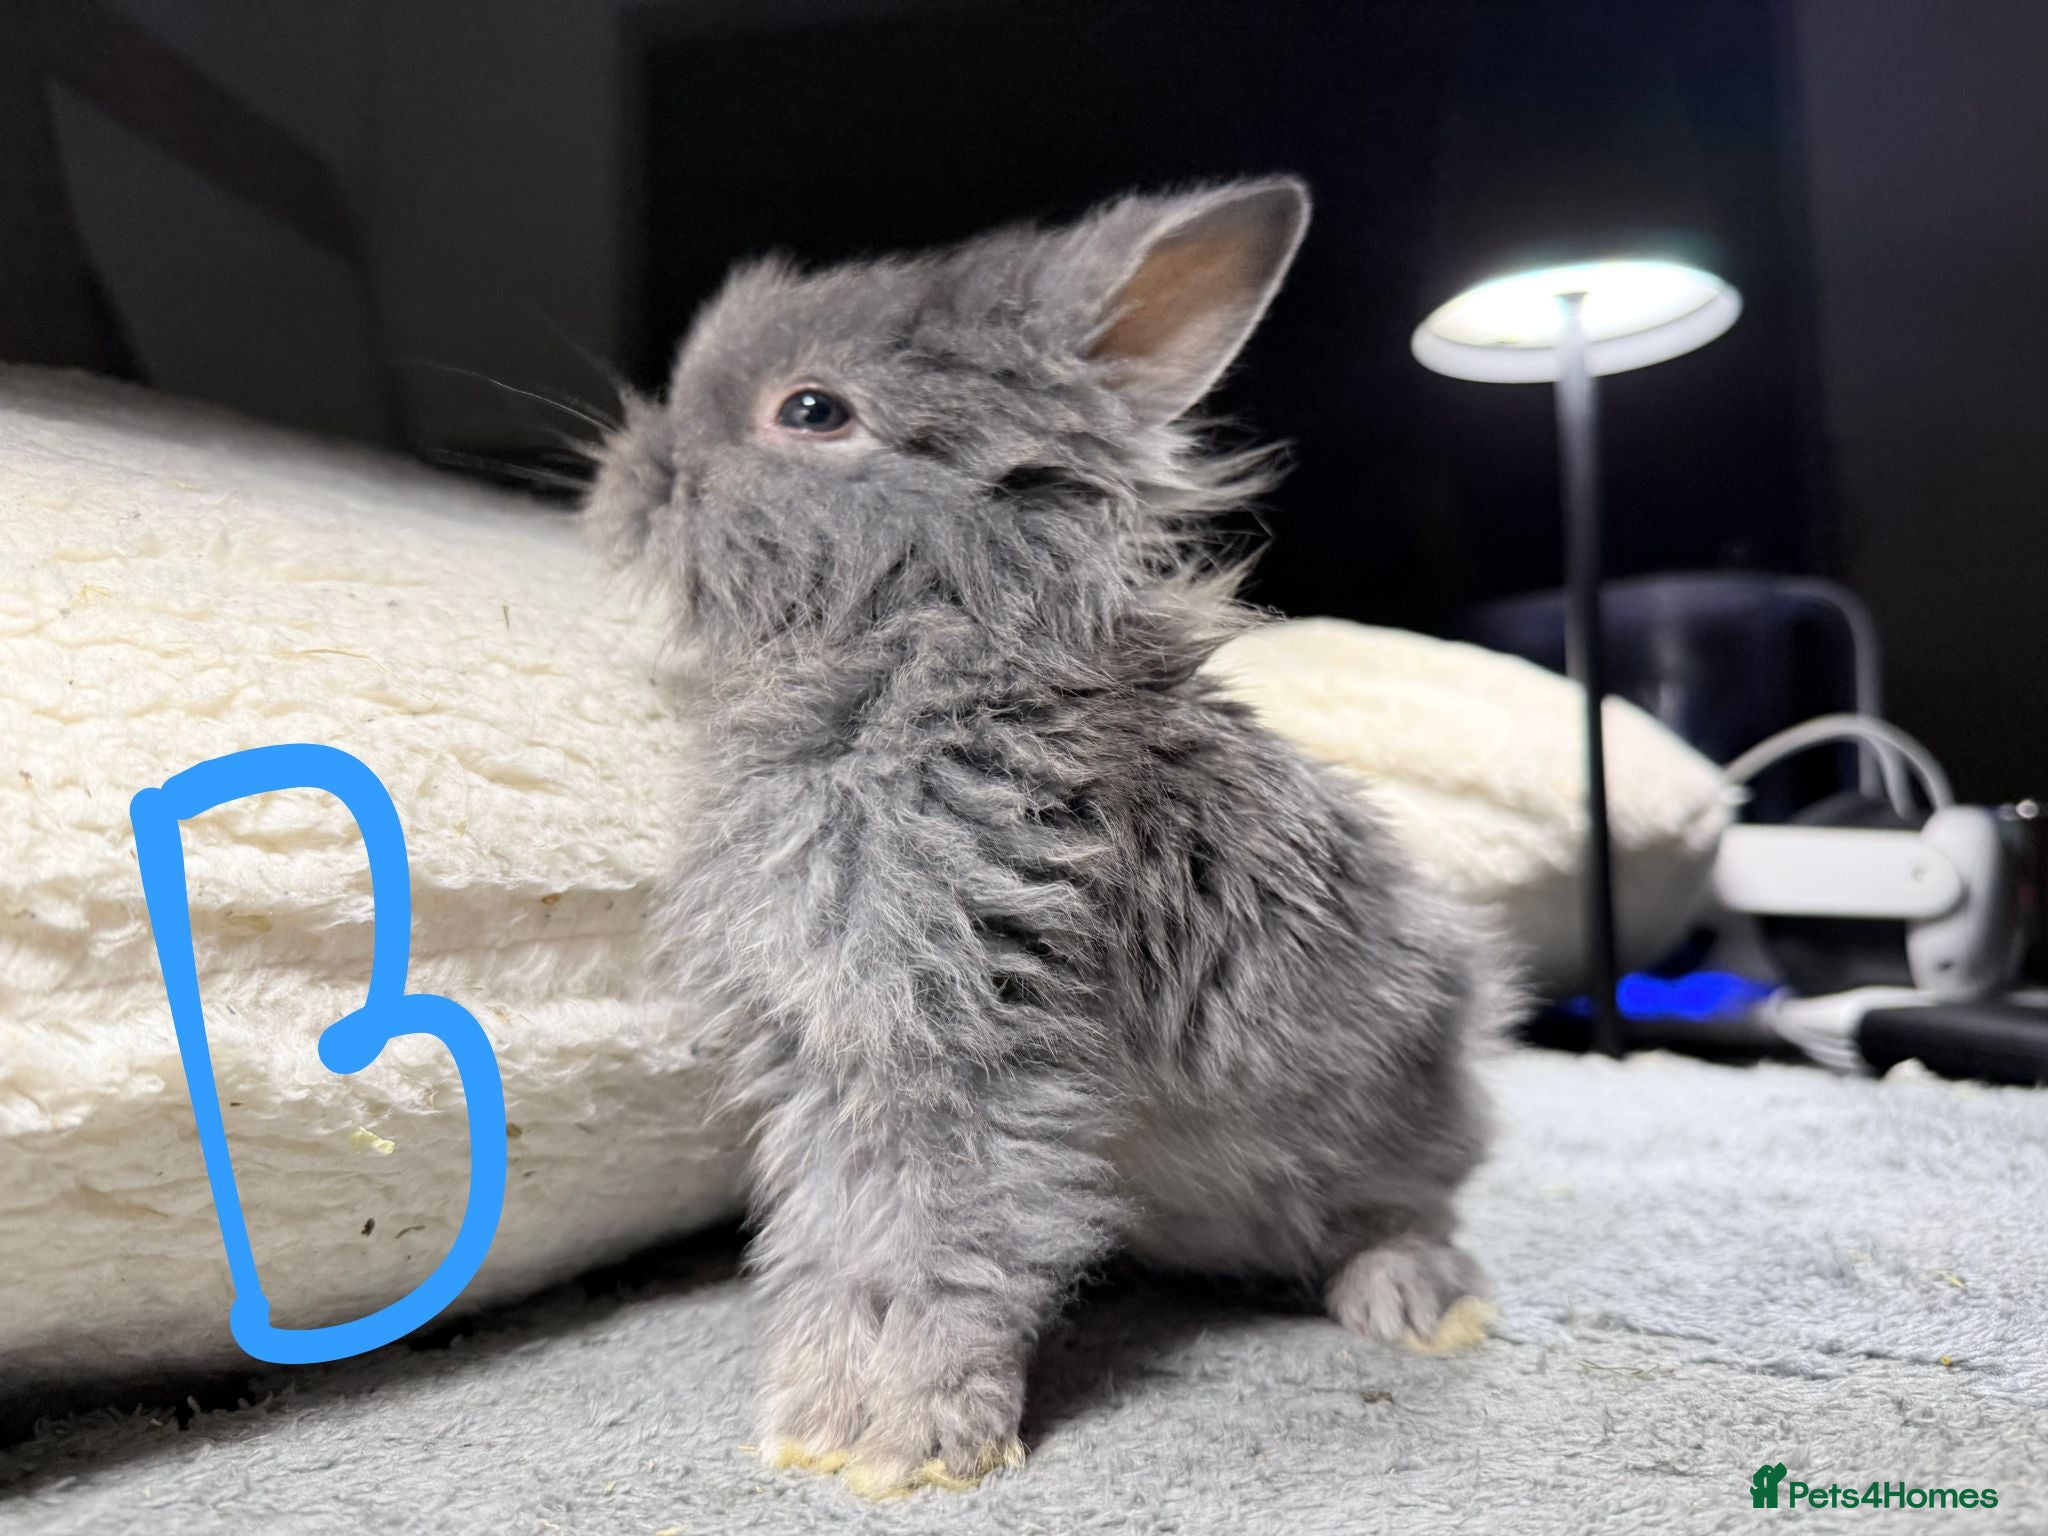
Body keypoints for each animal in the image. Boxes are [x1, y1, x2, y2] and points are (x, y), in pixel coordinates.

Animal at [583, 176, 1514, 1500]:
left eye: (810, 410)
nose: (630, 473)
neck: (918, 623)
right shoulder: (830, 1064)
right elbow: (837, 1241)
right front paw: (818, 1418)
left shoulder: (968, 1046)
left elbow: (941, 1238)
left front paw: (905, 1441)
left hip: (1395, 1102)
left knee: (1407, 1210)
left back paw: (1415, 1304)